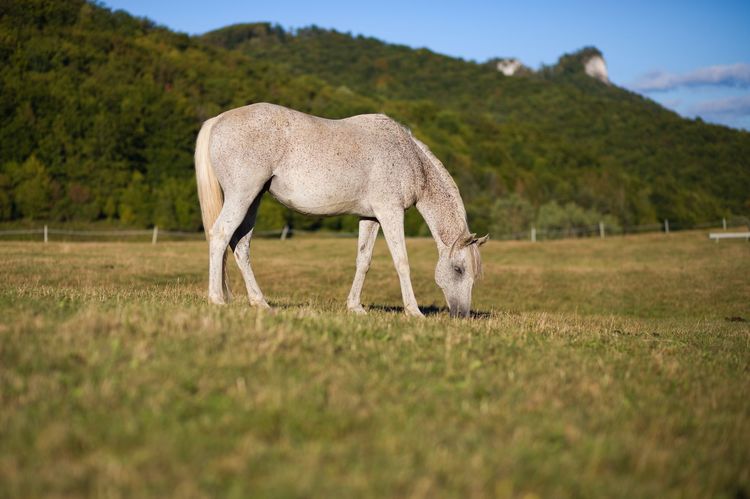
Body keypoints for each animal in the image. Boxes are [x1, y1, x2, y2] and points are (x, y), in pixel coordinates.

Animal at [195, 103, 488, 318]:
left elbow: (363, 261)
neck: (408, 157)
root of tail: (218, 120)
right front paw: (414, 312)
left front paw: (355, 307)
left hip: (253, 199)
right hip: (241, 196)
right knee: (220, 235)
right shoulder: (390, 212)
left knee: (241, 246)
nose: (461, 315)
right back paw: (217, 299)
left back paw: (260, 303)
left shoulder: (370, 217)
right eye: (459, 270)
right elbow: (401, 262)